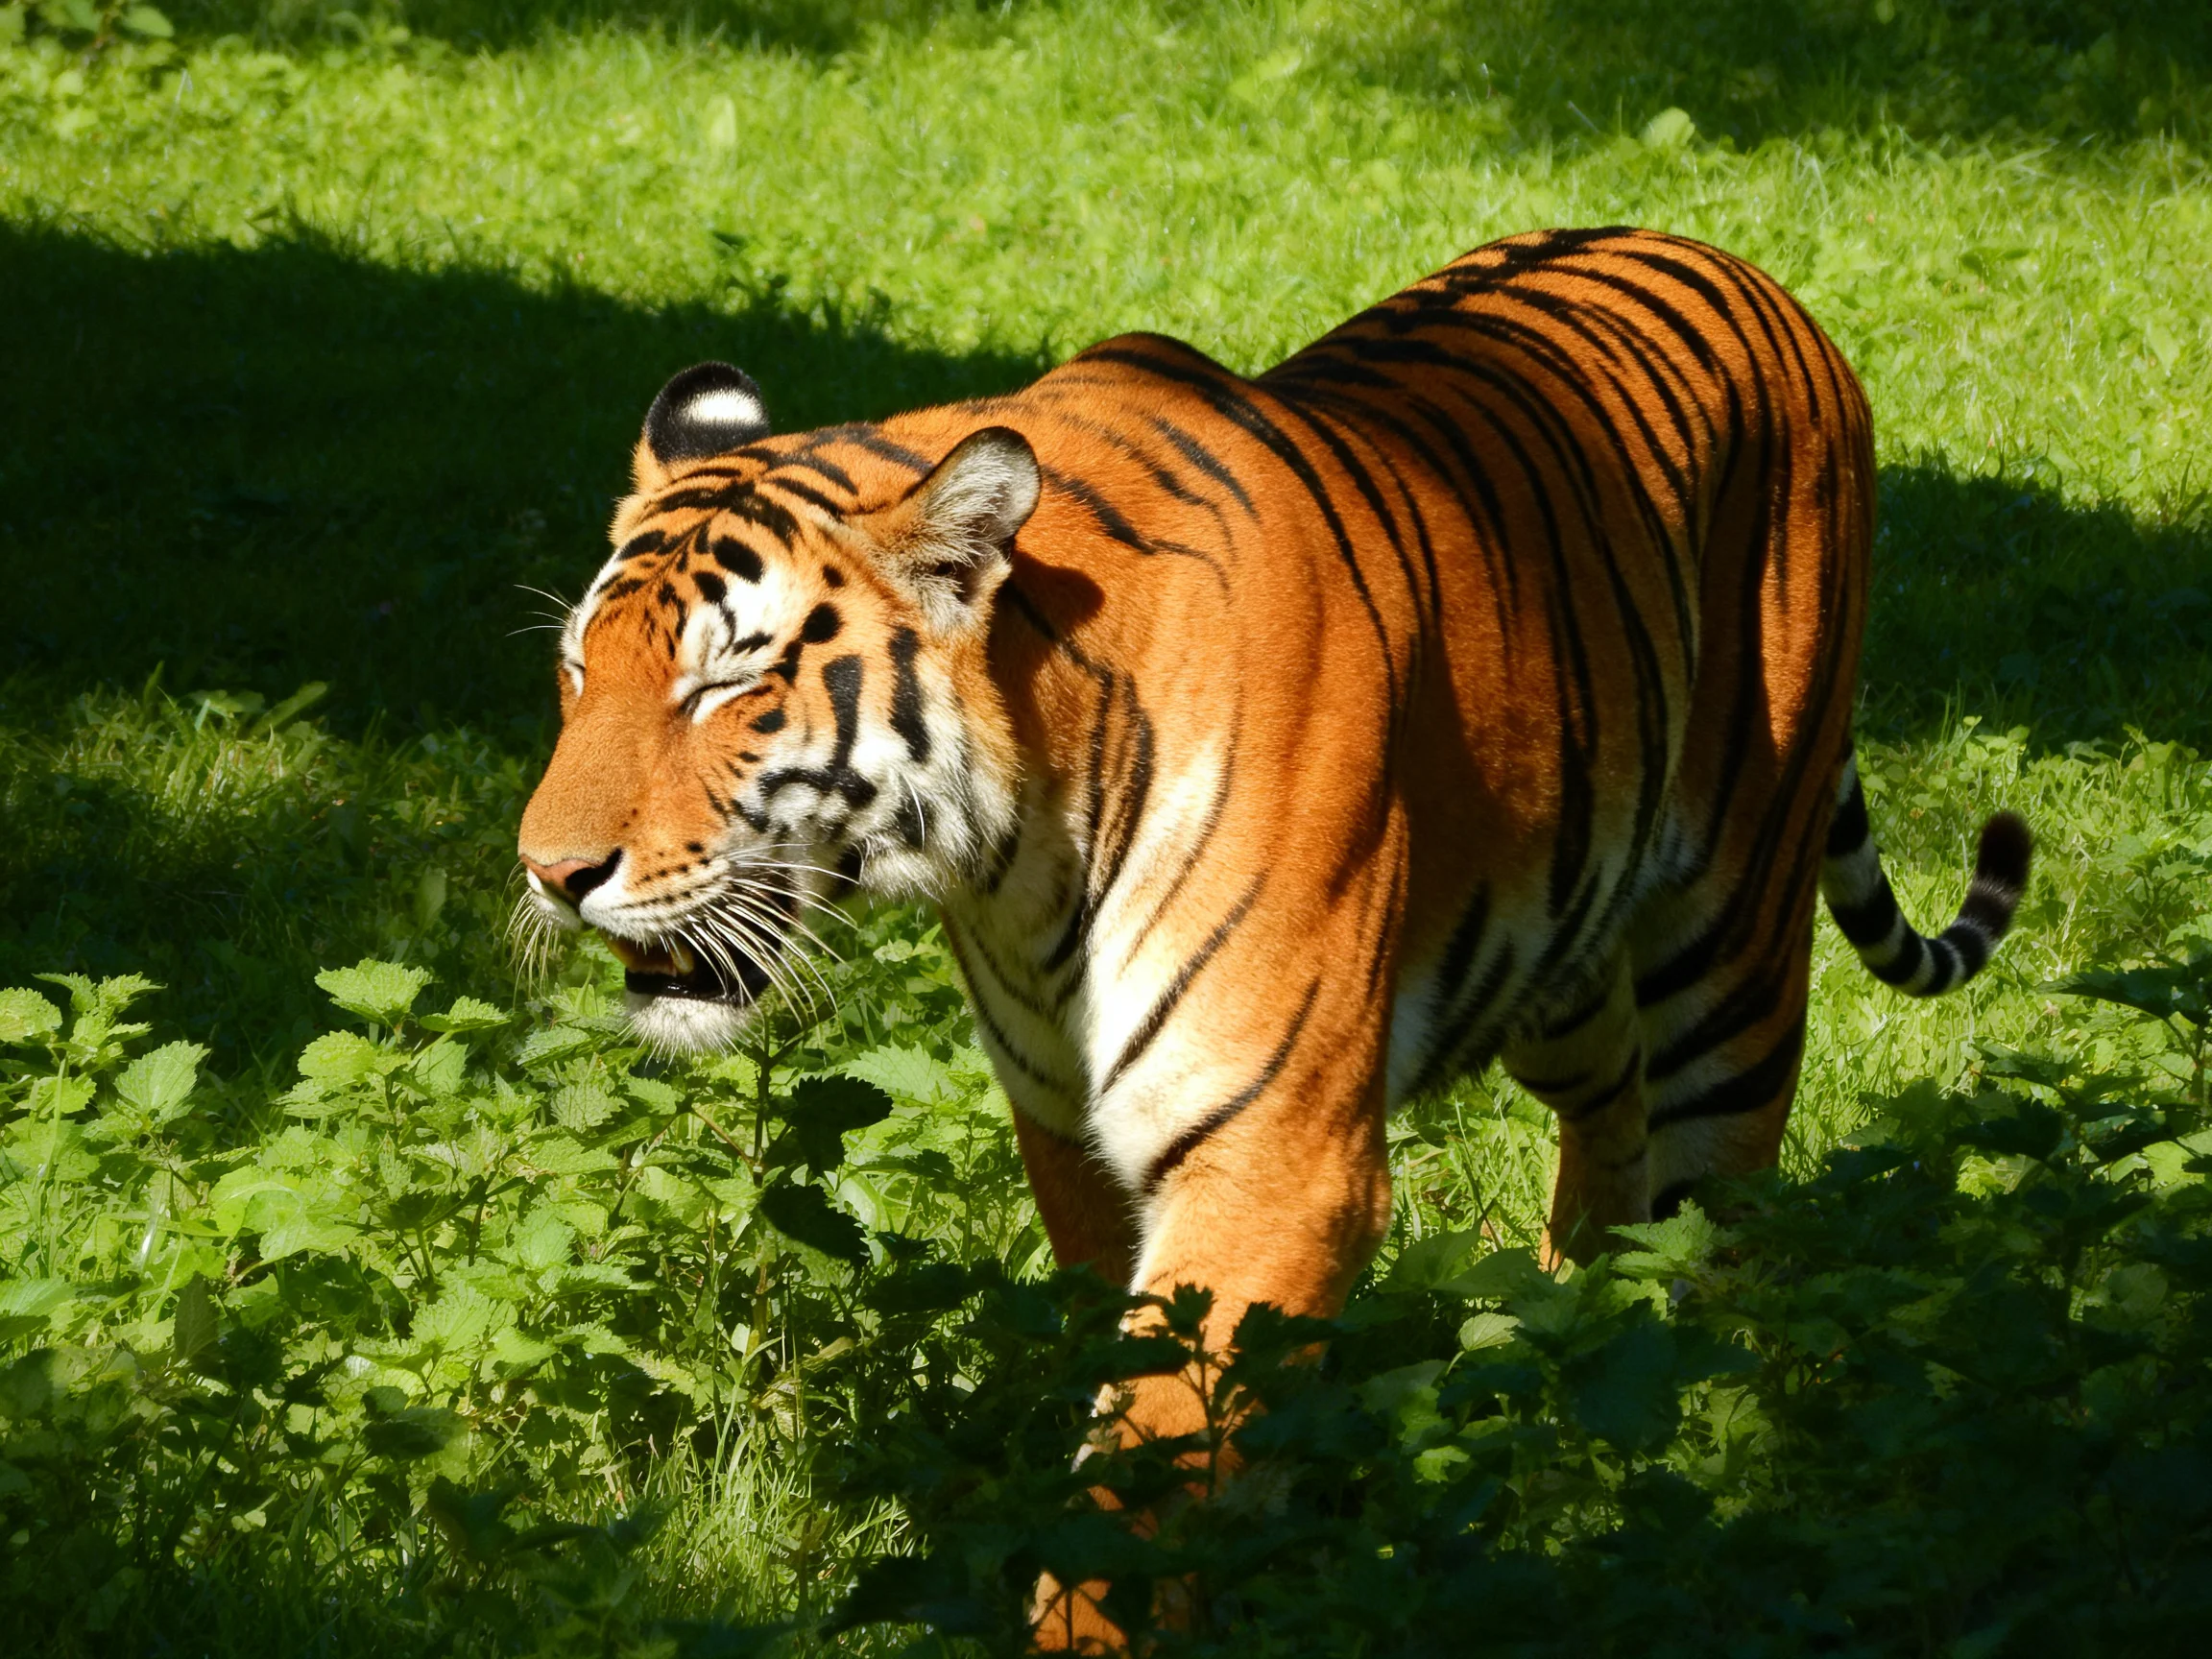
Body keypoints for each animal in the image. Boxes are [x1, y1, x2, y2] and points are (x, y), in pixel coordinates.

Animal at [516, 225, 2028, 1561]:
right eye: (581, 669)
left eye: (728, 684)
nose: (550, 873)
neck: (1017, 853)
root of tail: (1753, 277)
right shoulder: (1073, 1135)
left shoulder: (1272, 1153)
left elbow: (1141, 1483)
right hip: (1555, 944)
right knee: (1614, 1109)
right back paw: (1564, 1358)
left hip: (1733, 935)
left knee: (1719, 1206)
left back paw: (1683, 1455)